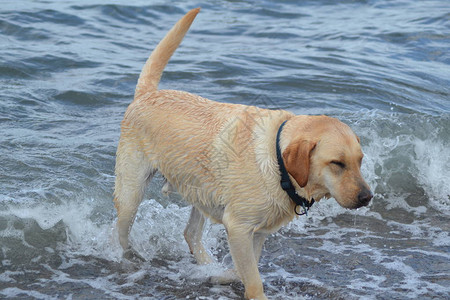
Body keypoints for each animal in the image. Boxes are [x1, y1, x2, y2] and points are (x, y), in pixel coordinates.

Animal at [113, 7, 372, 300]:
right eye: (337, 163)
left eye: (360, 161)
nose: (367, 197)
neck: (277, 164)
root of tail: (147, 95)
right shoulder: (238, 227)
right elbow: (253, 279)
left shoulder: (256, 233)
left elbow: (244, 269)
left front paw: (221, 275)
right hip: (131, 194)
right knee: (121, 233)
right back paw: (130, 258)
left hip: (201, 190)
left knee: (190, 233)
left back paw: (207, 264)